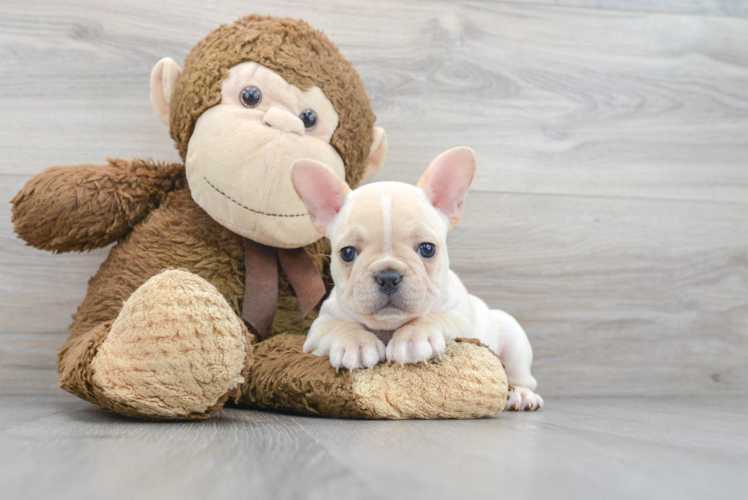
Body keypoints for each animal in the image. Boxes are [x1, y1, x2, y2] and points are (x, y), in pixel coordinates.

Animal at [292, 147, 544, 410]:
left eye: (427, 249)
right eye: (347, 253)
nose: (388, 276)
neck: (389, 326)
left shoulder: (457, 318)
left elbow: (431, 317)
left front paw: (413, 338)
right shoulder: (319, 327)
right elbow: (339, 326)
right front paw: (356, 343)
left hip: (513, 338)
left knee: (520, 377)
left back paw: (521, 395)